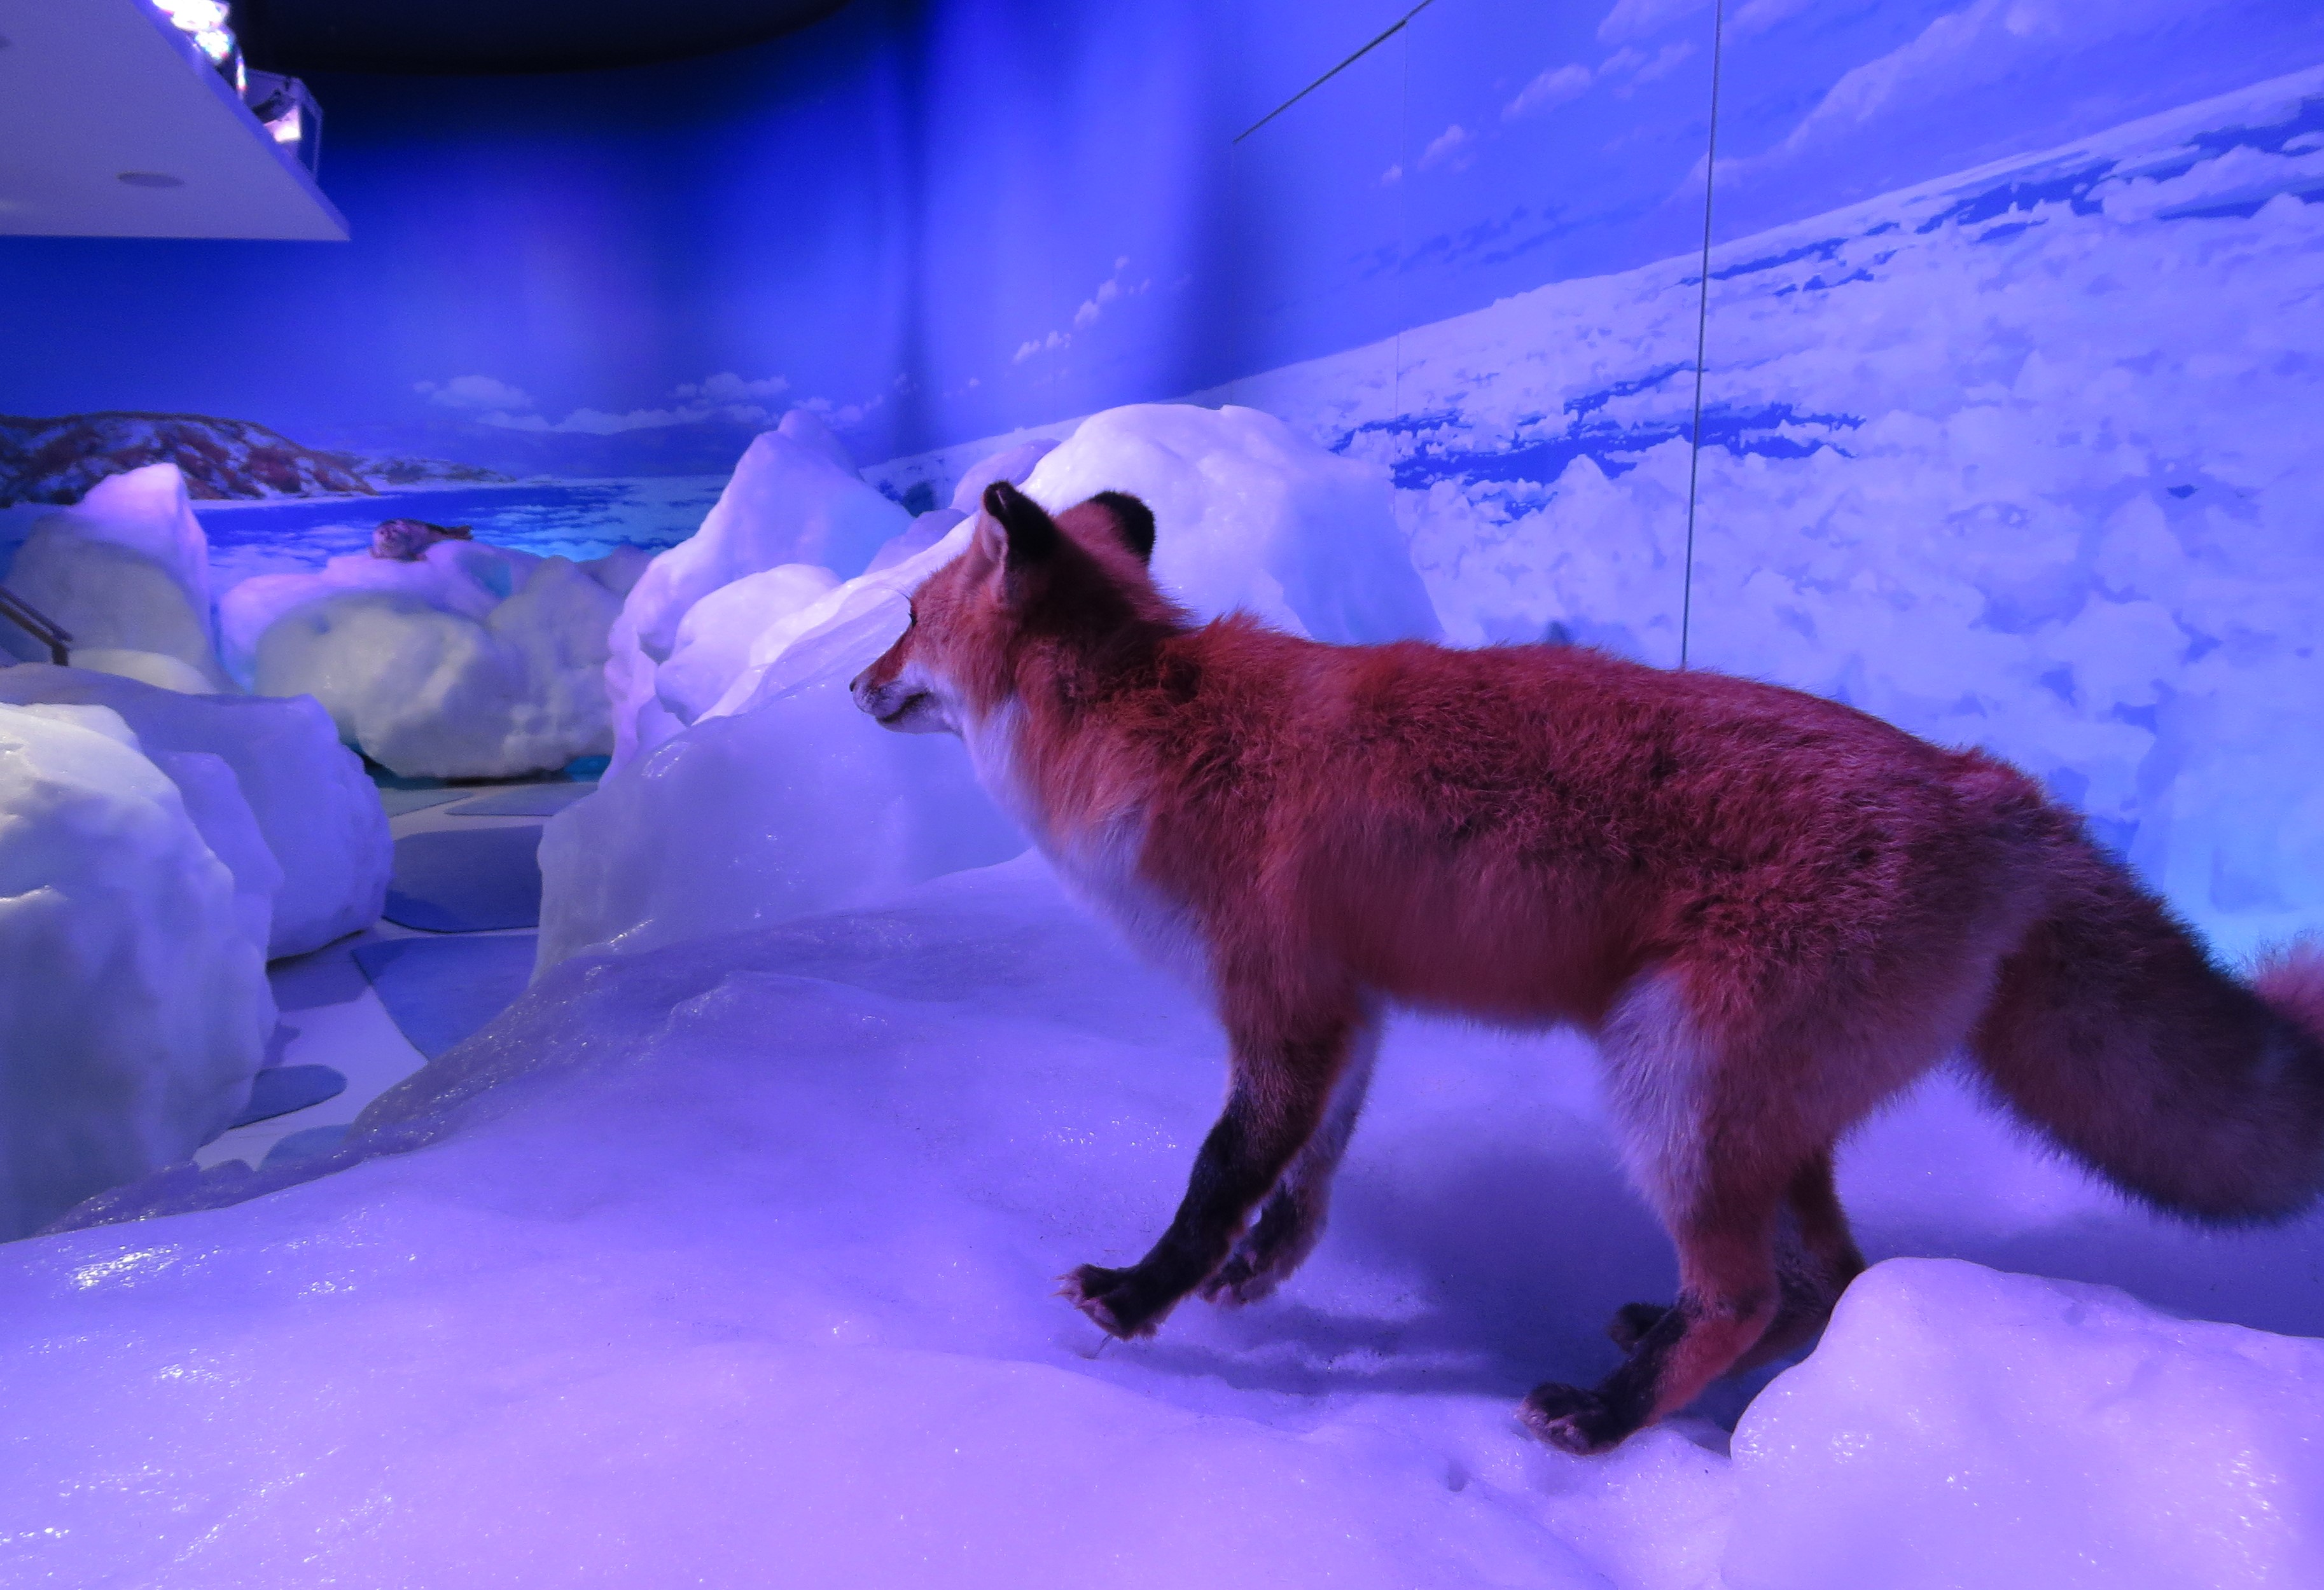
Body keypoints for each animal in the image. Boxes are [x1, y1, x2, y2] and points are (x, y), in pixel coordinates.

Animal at [855, 481, 2324, 1450]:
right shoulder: (1346, 1009)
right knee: (1826, 1279)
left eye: (909, 617)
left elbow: (1218, 1170)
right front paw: (1262, 1273)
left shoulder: (1277, 1000)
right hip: (1755, 1118)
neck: (1163, 729)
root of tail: (1992, 789)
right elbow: (1308, 1176)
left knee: (1745, 1293)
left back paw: (1605, 1417)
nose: (856, 688)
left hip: (1669, 1085)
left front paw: (1136, 1296)